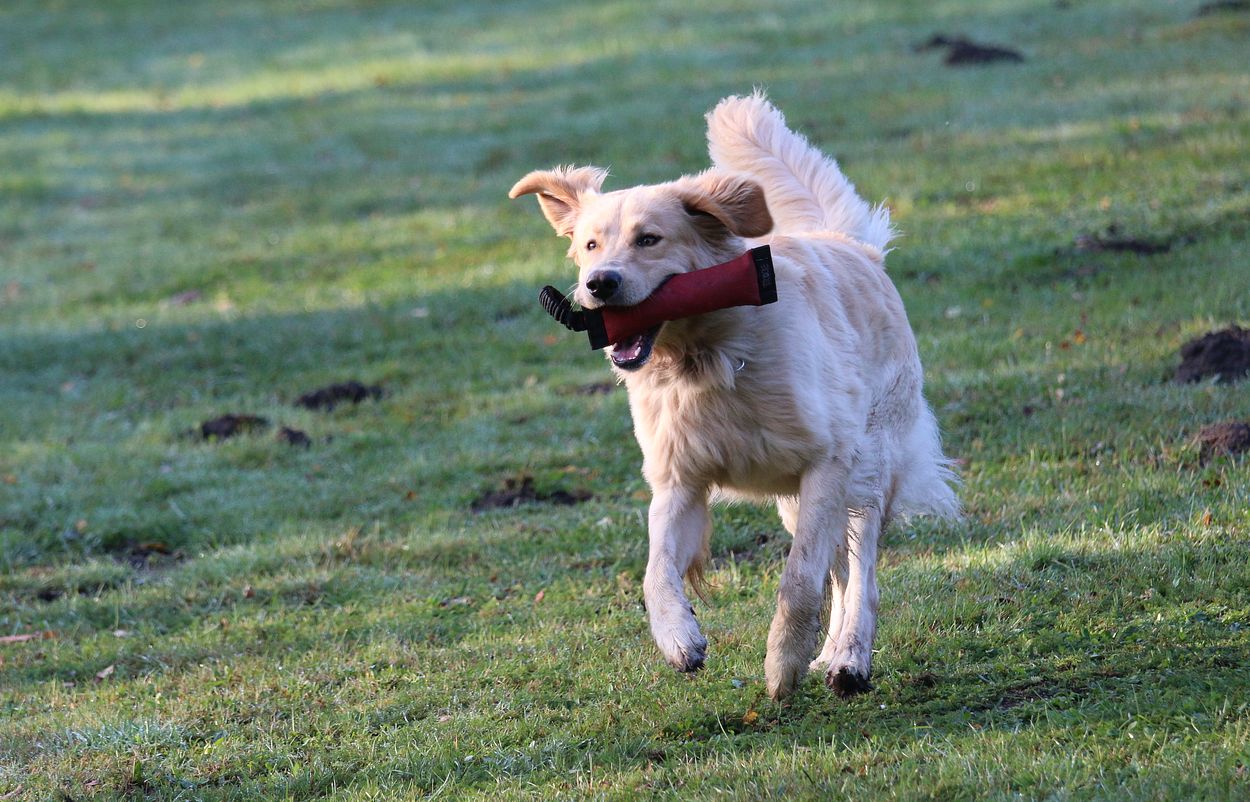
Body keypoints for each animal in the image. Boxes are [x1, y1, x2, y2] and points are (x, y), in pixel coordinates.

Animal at [510, 92, 959, 700]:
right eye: (590, 244)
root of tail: (854, 246)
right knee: (841, 571)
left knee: (860, 573)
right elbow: (656, 573)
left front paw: (783, 663)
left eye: (649, 239)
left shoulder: (828, 462)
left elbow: (799, 579)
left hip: (868, 465)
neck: (706, 358)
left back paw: (848, 658)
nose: (598, 284)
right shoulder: (679, 480)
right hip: (799, 502)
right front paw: (680, 638)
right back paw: (830, 654)